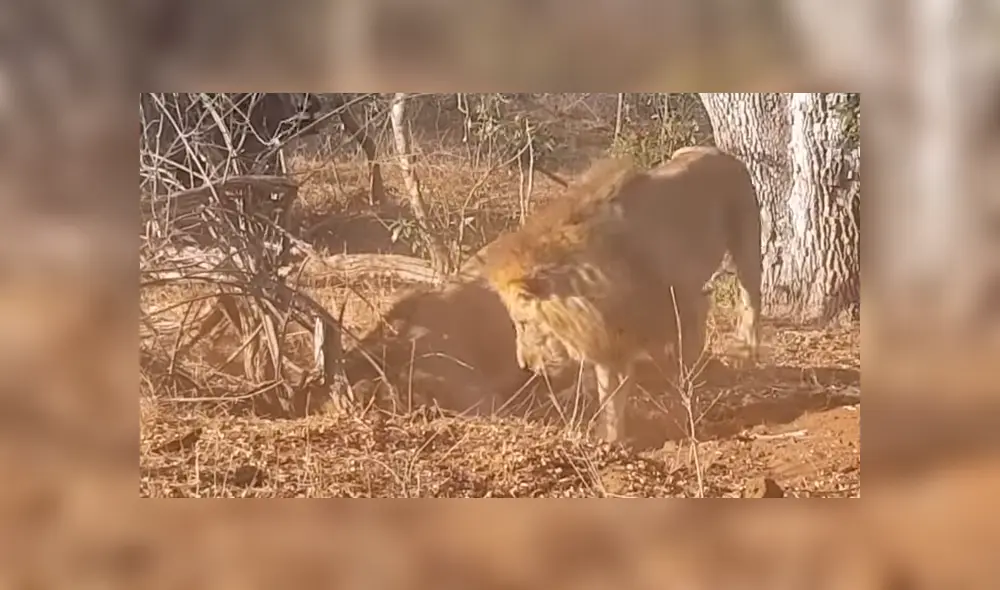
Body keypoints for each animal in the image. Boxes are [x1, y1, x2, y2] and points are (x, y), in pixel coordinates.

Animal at [480, 146, 762, 442]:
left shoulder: (684, 307)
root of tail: (722, 152)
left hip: (747, 246)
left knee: (751, 300)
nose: (525, 365)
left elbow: (682, 372)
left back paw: (747, 350)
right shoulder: (612, 334)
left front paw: (684, 415)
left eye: (523, 323)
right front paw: (610, 437)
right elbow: (610, 392)